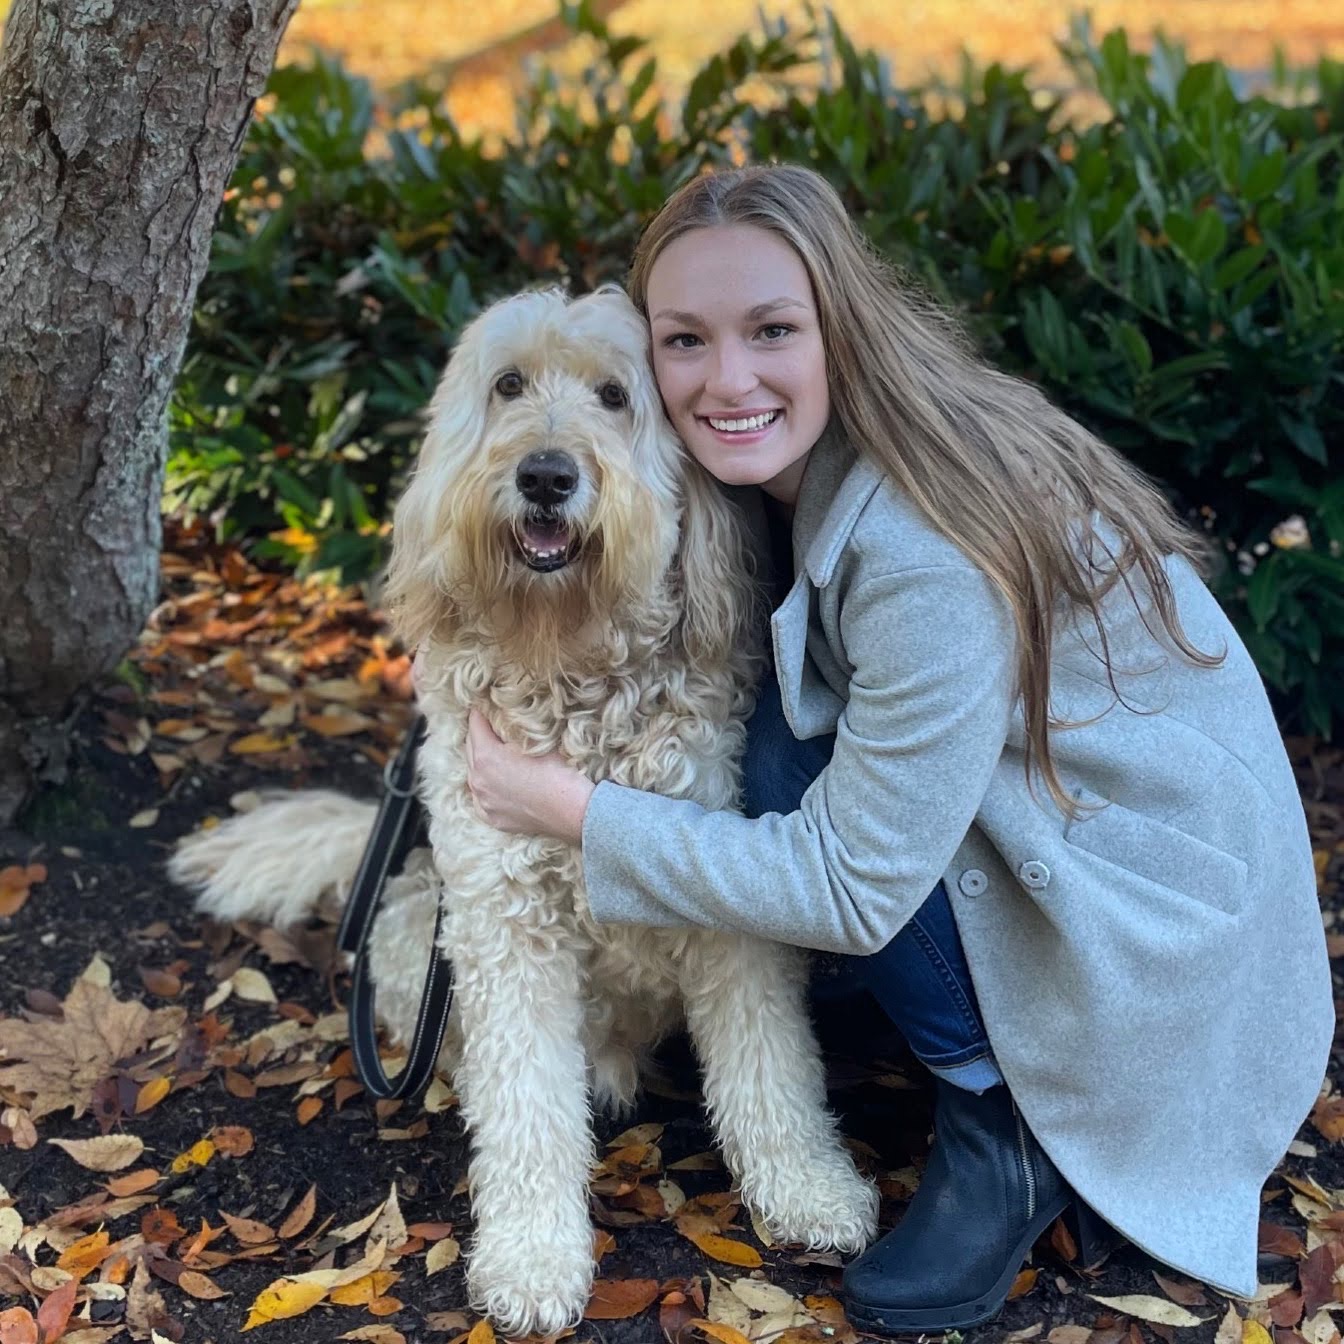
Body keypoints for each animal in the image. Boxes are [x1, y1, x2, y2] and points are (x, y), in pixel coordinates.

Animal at [168, 283, 876, 1333]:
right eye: (507, 385)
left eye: (616, 396)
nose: (546, 475)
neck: (567, 665)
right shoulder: (504, 923)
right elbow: (527, 1108)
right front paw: (534, 1259)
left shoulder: (730, 909)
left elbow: (772, 1067)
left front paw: (807, 1189)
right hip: (420, 930)